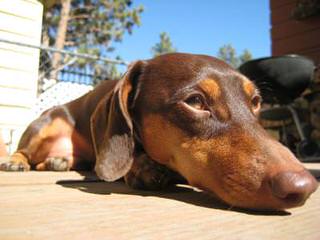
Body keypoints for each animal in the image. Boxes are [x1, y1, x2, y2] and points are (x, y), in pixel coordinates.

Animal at [0, 53, 318, 210]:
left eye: (256, 102)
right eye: (195, 101)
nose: (303, 187)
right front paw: (142, 168)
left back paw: (59, 161)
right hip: (46, 124)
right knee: (25, 149)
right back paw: (15, 161)